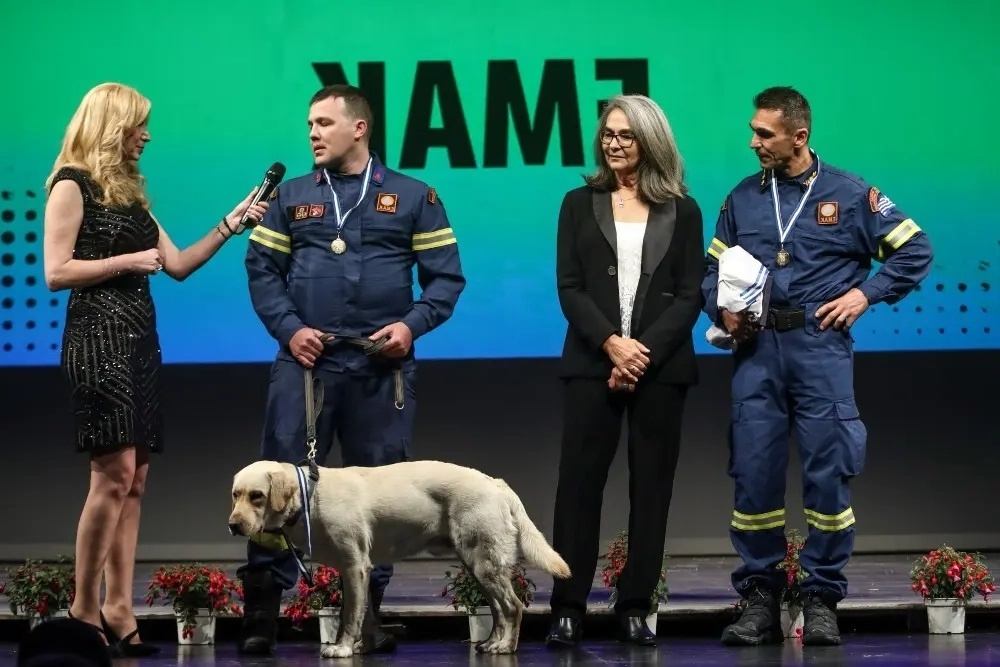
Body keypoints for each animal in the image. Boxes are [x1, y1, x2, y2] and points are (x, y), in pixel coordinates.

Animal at [229, 460, 572, 656]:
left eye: (257, 496)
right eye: (235, 495)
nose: (233, 525)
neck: (310, 495)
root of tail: (495, 483)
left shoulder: (355, 565)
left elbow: (349, 614)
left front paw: (343, 648)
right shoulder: (355, 570)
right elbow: (362, 611)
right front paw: (361, 646)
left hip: (484, 562)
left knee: (513, 607)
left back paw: (506, 647)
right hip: (477, 564)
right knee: (500, 610)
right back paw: (490, 643)